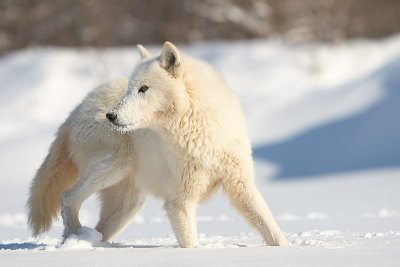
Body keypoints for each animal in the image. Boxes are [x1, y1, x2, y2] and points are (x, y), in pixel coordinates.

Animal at [27, 42, 288, 249]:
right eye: (130, 89)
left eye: (143, 88)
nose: (111, 116)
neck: (197, 129)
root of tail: (76, 110)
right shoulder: (178, 201)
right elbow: (190, 243)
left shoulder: (241, 185)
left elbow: (270, 227)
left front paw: (285, 249)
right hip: (117, 166)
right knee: (67, 197)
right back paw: (73, 240)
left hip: (128, 204)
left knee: (97, 226)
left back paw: (85, 241)